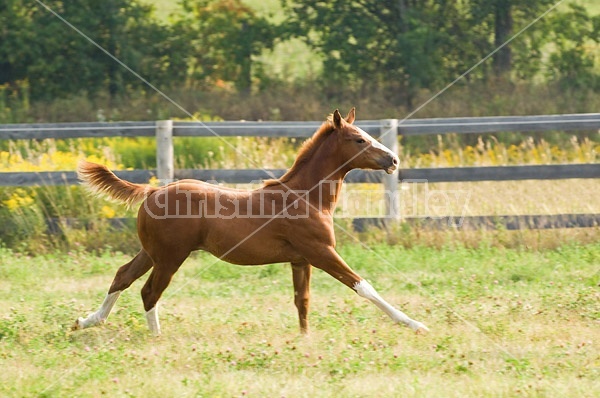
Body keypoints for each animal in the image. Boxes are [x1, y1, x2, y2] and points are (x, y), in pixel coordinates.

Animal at [74, 109, 426, 336]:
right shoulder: (321, 252)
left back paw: (87, 321)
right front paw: (415, 324)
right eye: (358, 140)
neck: (305, 197)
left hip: (152, 252)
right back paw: (155, 337)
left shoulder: (301, 260)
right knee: (149, 291)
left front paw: (304, 340)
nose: (393, 160)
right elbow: (363, 286)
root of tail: (152, 191)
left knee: (122, 276)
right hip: (170, 257)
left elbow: (302, 301)